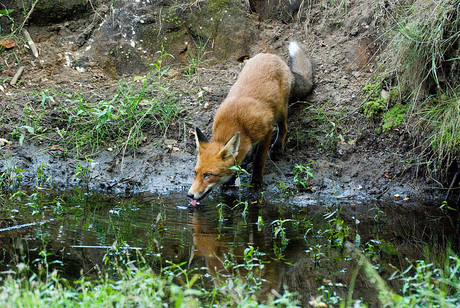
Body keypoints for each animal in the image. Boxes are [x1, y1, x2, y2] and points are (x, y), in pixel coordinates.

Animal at [187, 41, 312, 205]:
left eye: (208, 175)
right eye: (195, 173)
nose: (190, 195)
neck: (234, 121)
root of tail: (271, 55)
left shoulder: (267, 130)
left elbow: (259, 160)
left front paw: (256, 183)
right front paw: (231, 180)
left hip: (281, 109)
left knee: (284, 128)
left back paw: (278, 147)